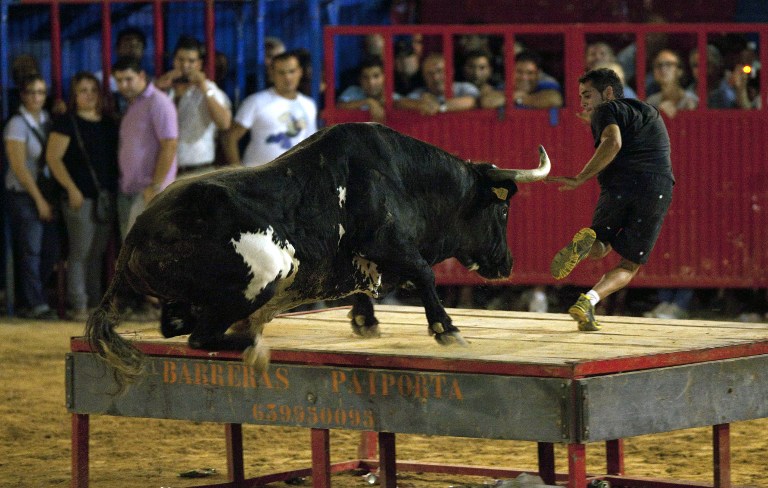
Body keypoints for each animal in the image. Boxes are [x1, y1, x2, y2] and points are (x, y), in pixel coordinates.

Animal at [87, 121, 548, 386]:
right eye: (503, 209)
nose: (507, 264)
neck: (401, 176)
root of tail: (136, 233)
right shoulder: (387, 241)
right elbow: (424, 274)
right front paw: (446, 329)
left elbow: (370, 283)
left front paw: (364, 319)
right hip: (265, 273)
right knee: (202, 335)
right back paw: (253, 342)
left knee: (177, 325)